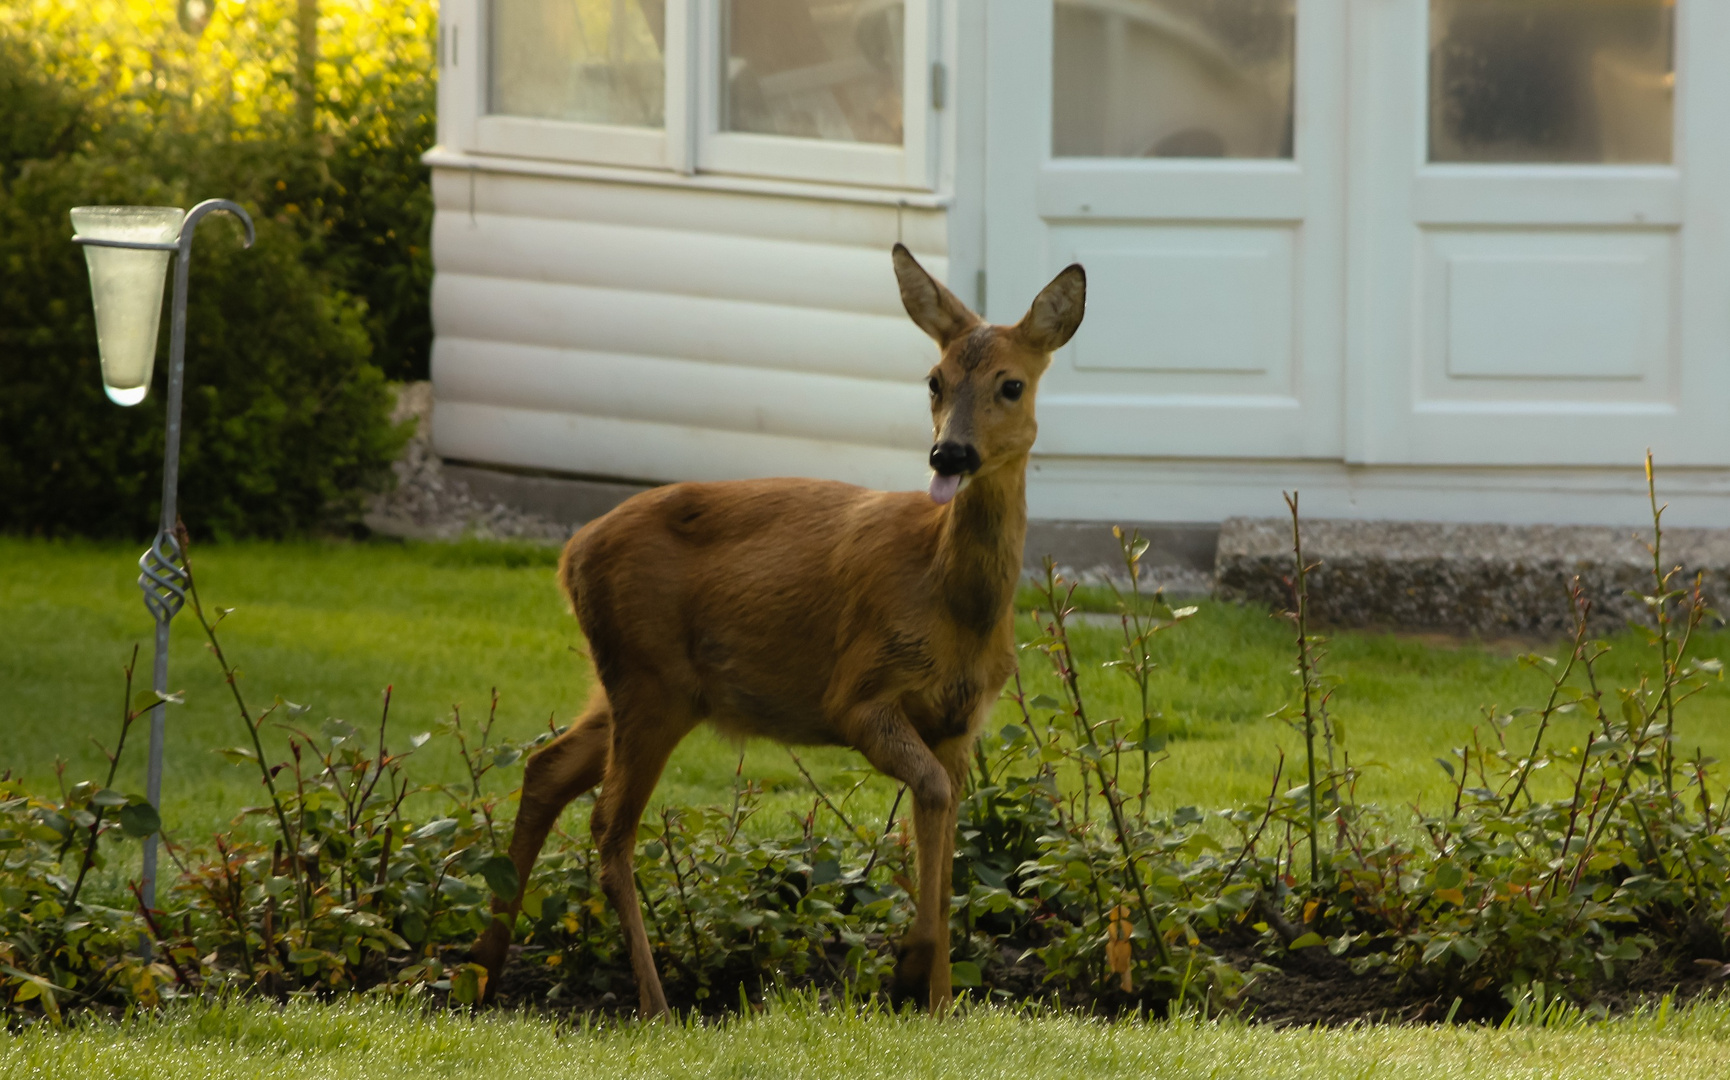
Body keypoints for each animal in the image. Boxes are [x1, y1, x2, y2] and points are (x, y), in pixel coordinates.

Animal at [470, 242, 1079, 1010]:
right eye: (934, 380)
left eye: (1011, 385)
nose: (950, 455)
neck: (952, 601)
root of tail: (570, 556)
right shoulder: (858, 692)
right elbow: (936, 801)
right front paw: (912, 969)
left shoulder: (959, 721)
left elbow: (942, 828)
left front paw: (937, 998)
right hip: (649, 678)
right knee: (610, 827)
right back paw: (655, 1006)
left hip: (636, 683)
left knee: (546, 768)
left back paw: (480, 973)